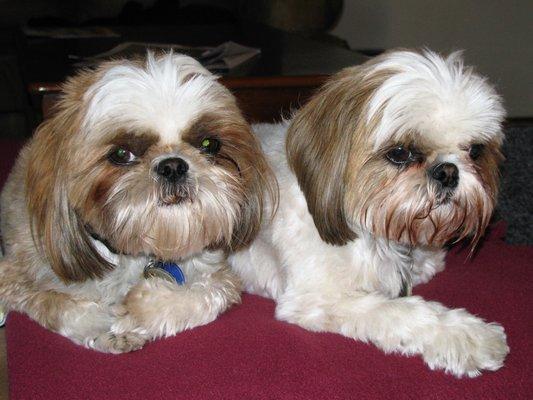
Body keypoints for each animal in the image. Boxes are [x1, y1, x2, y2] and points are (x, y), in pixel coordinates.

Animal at [0, 53, 274, 354]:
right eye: (121, 153)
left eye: (209, 144)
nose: (173, 166)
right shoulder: (17, 275)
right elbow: (65, 307)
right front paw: (107, 327)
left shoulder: (218, 275)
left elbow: (202, 295)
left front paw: (136, 310)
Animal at [231, 48, 510, 376]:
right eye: (400, 153)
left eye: (476, 150)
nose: (448, 172)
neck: (370, 229)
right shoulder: (320, 299)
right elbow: (404, 312)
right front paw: (466, 335)